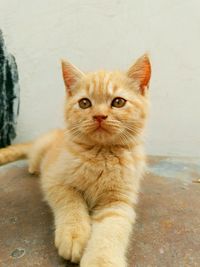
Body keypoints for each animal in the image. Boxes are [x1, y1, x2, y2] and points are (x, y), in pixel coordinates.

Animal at [0, 55, 150, 267]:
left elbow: (111, 229)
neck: (101, 155)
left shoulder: (119, 201)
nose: (99, 116)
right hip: (39, 155)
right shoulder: (54, 180)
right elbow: (71, 202)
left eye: (118, 102)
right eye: (85, 103)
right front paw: (74, 235)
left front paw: (101, 260)